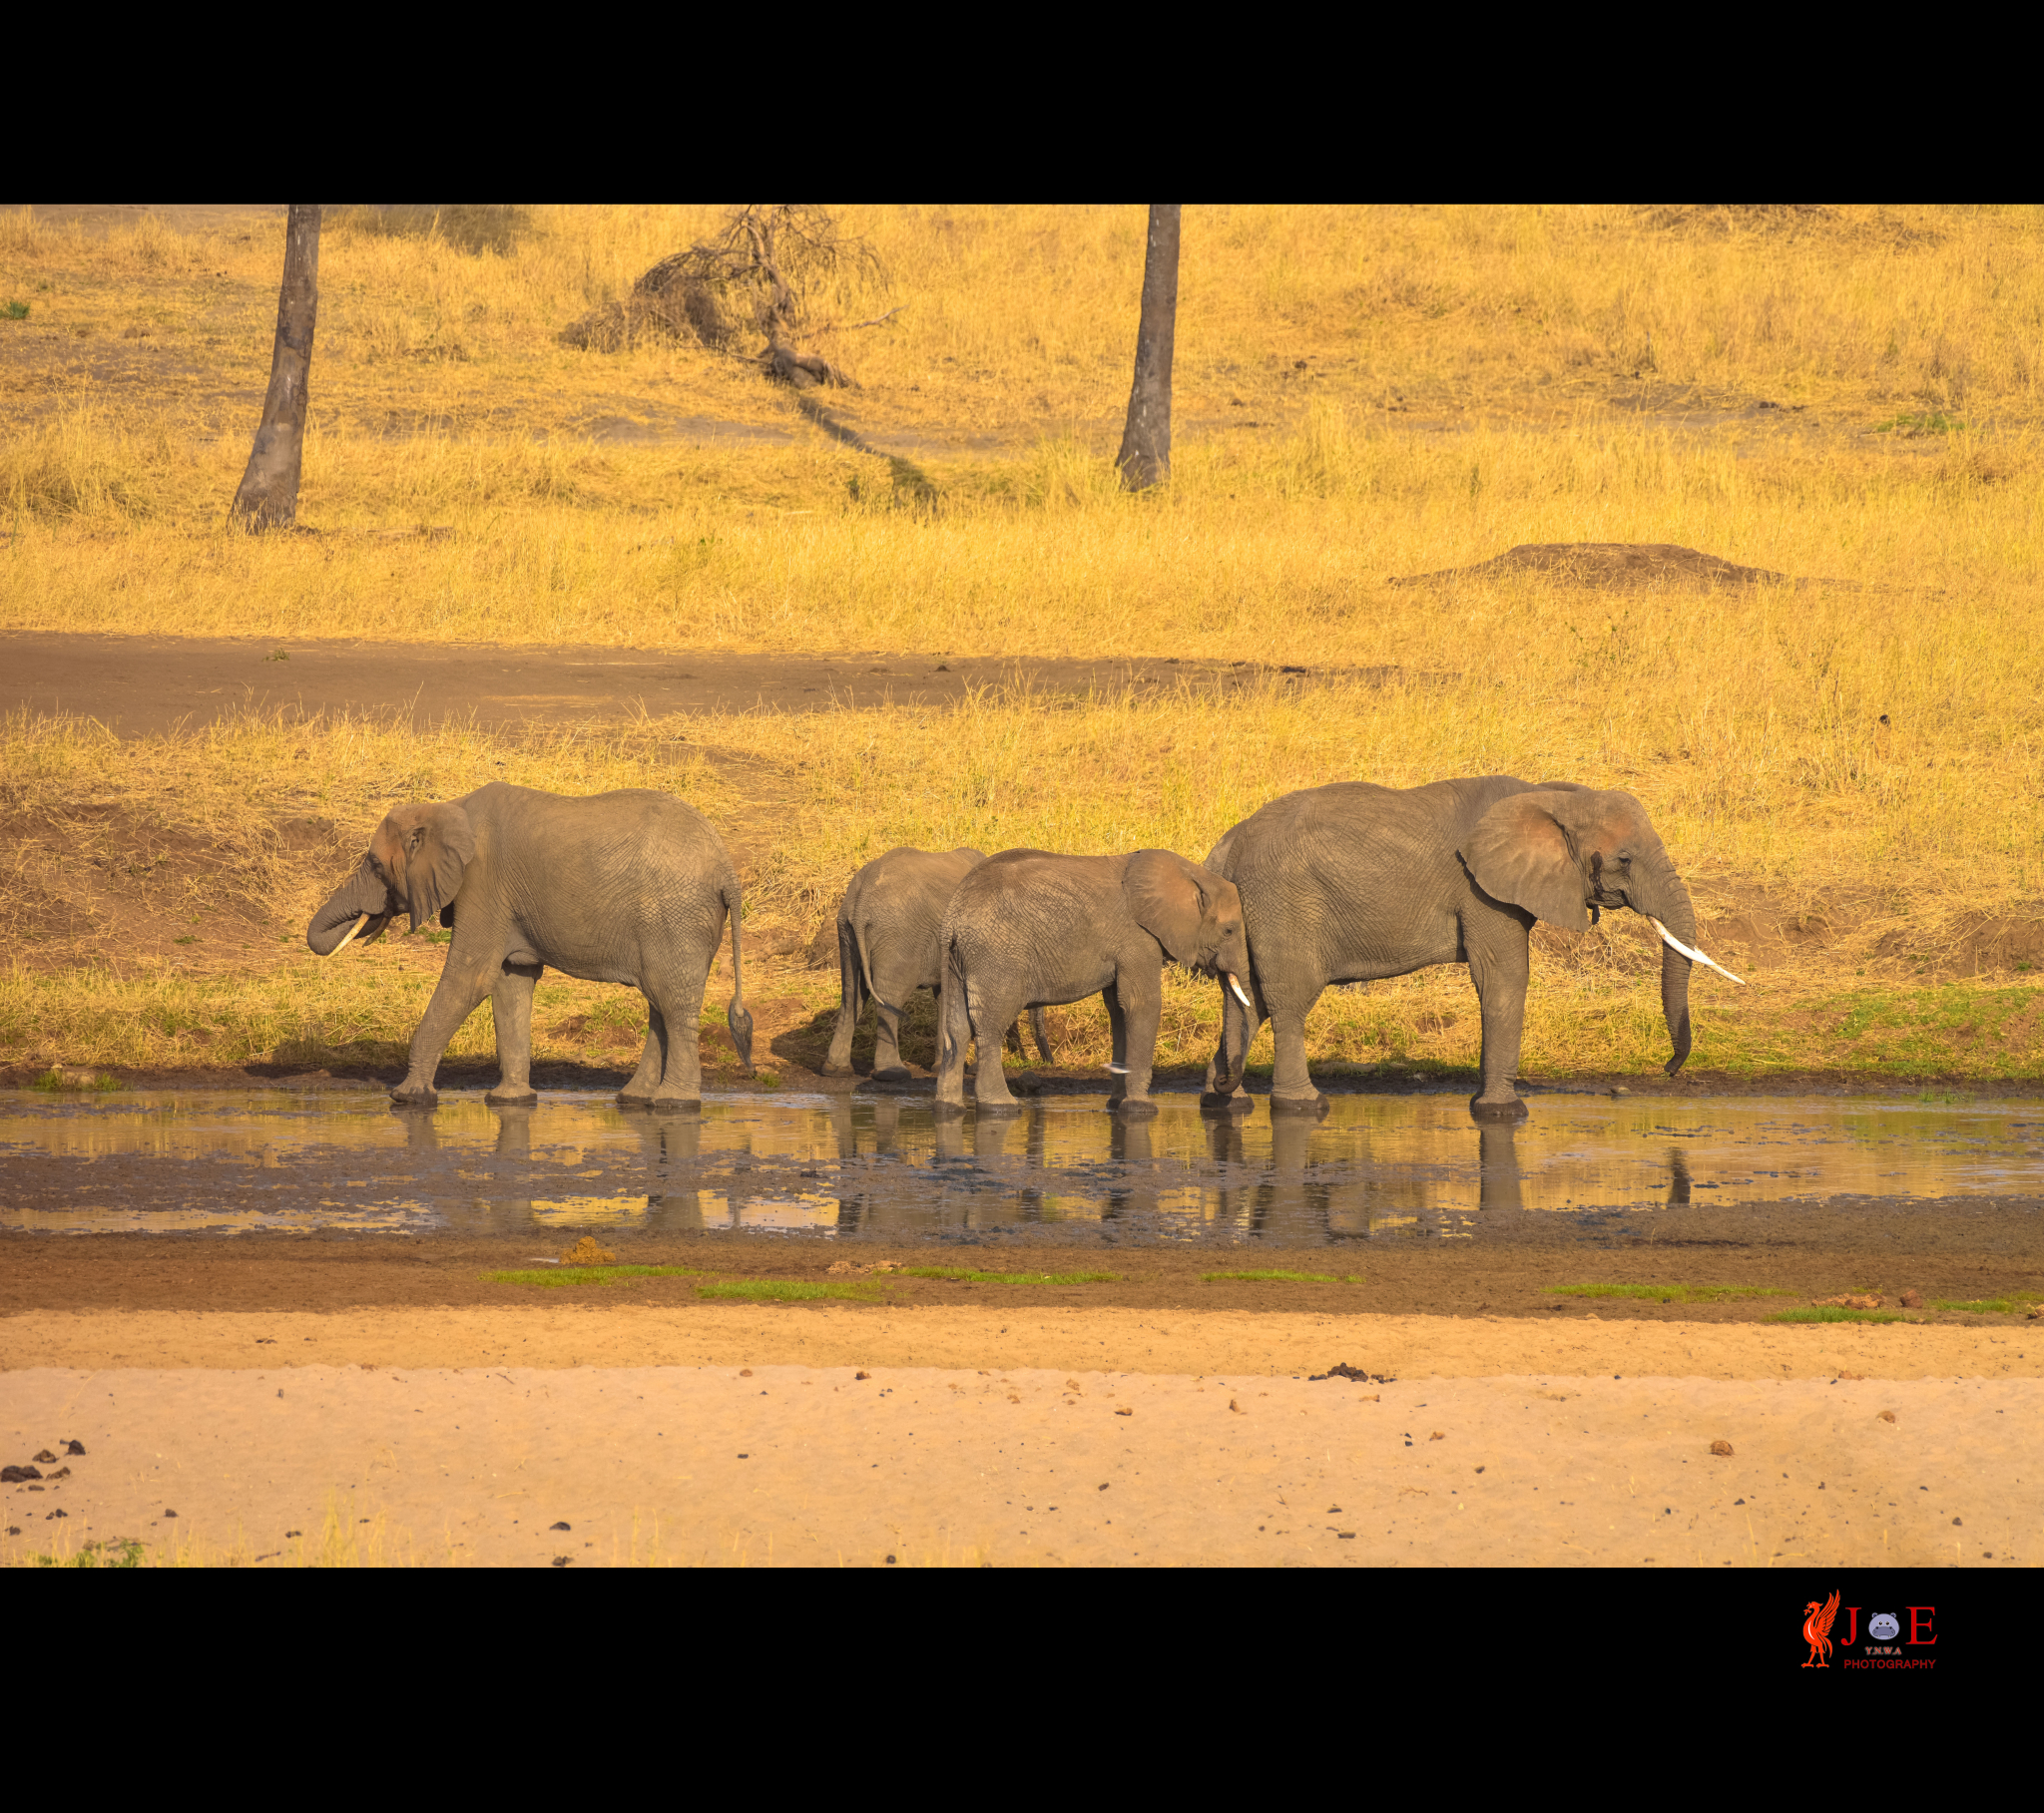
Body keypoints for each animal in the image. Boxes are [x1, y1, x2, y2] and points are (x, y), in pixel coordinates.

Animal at [302, 788, 752, 1112]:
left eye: (376, 866)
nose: (370, 920)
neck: (449, 808)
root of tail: (727, 869)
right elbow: (510, 982)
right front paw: (510, 1102)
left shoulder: (482, 883)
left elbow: (471, 978)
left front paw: (408, 1098)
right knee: (660, 1001)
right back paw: (634, 1100)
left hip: (676, 915)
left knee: (673, 1003)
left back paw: (674, 1105)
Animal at [821, 846, 1054, 1087]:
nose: (1048, 1062)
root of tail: (861, 900)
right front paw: (971, 1069)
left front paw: (941, 1067)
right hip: (896, 937)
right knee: (889, 997)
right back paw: (892, 1073)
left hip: (847, 932)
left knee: (851, 995)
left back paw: (836, 1070)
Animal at [935, 854, 1251, 1120]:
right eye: (1229, 931)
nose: (1221, 1081)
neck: (1191, 875)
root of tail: (953, 916)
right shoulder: (1138, 939)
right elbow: (1141, 1003)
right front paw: (1141, 1110)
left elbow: (1119, 1009)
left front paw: (1116, 1105)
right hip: (997, 956)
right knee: (990, 1026)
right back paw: (1001, 1108)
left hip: (956, 962)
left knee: (957, 1028)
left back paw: (948, 1108)